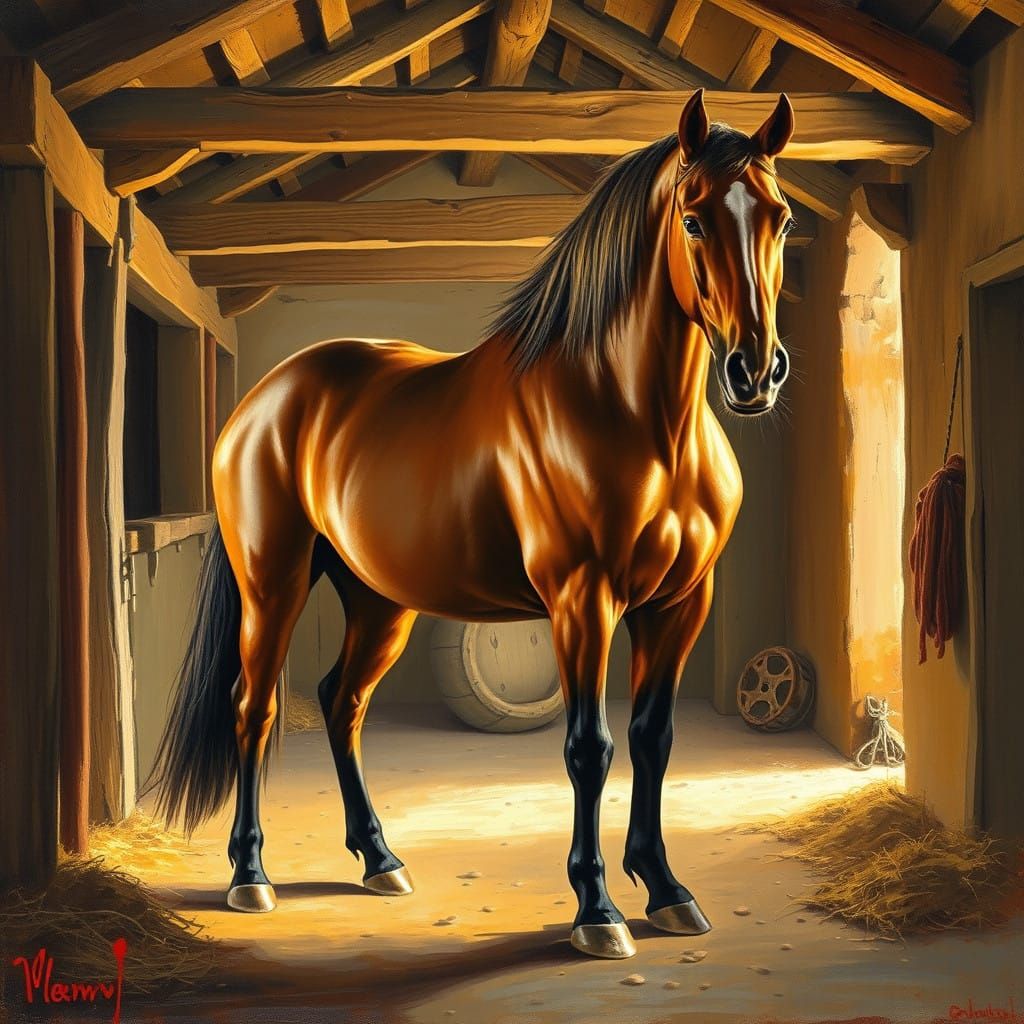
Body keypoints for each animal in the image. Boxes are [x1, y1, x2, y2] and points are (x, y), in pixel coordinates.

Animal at [150, 88, 797, 961]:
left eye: (780, 219)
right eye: (693, 219)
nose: (754, 372)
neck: (635, 418)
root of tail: (262, 400)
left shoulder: (680, 605)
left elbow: (654, 739)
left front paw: (665, 889)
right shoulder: (582, 601)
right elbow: (590, 747)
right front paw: (597, 910)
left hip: (379, 601)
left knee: (341, 701)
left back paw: (380, 859)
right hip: (274, 584)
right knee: (254, 705)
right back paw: (250, 877)